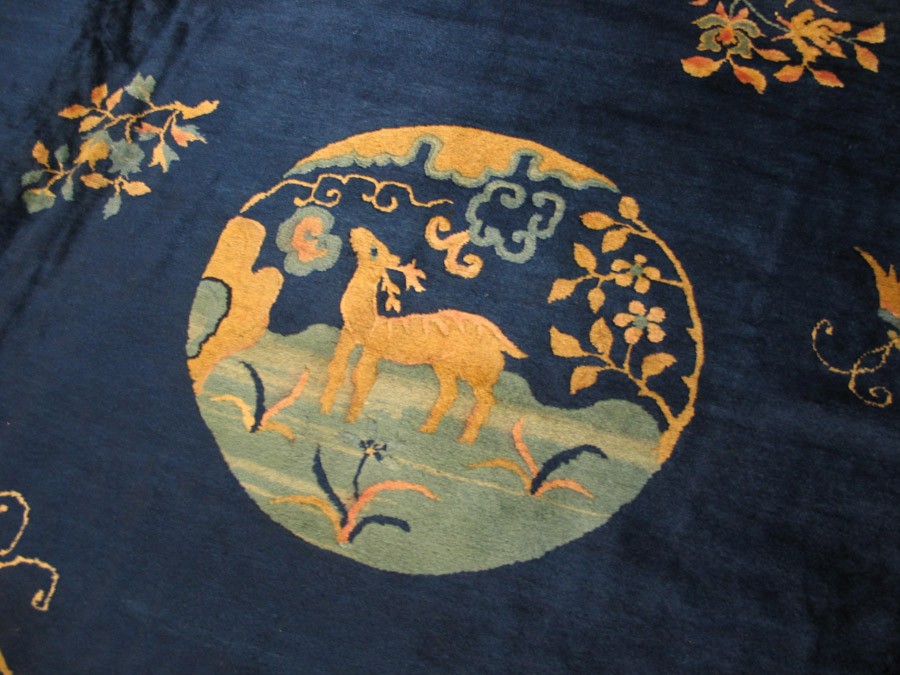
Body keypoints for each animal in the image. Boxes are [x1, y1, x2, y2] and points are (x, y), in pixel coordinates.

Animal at [320, 227, 527, 444]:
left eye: (375, 249)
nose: (356, 230)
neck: (370, 322)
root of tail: (499, 337)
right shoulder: (348, 337)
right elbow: (336, 369)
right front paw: (325, 410)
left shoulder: (373, 349)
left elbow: (361, 377)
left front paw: (349, 419)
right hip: (445, 366)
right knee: (450, 393)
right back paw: (427, 429)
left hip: (476, 370)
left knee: (486, 399)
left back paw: (465, 440)